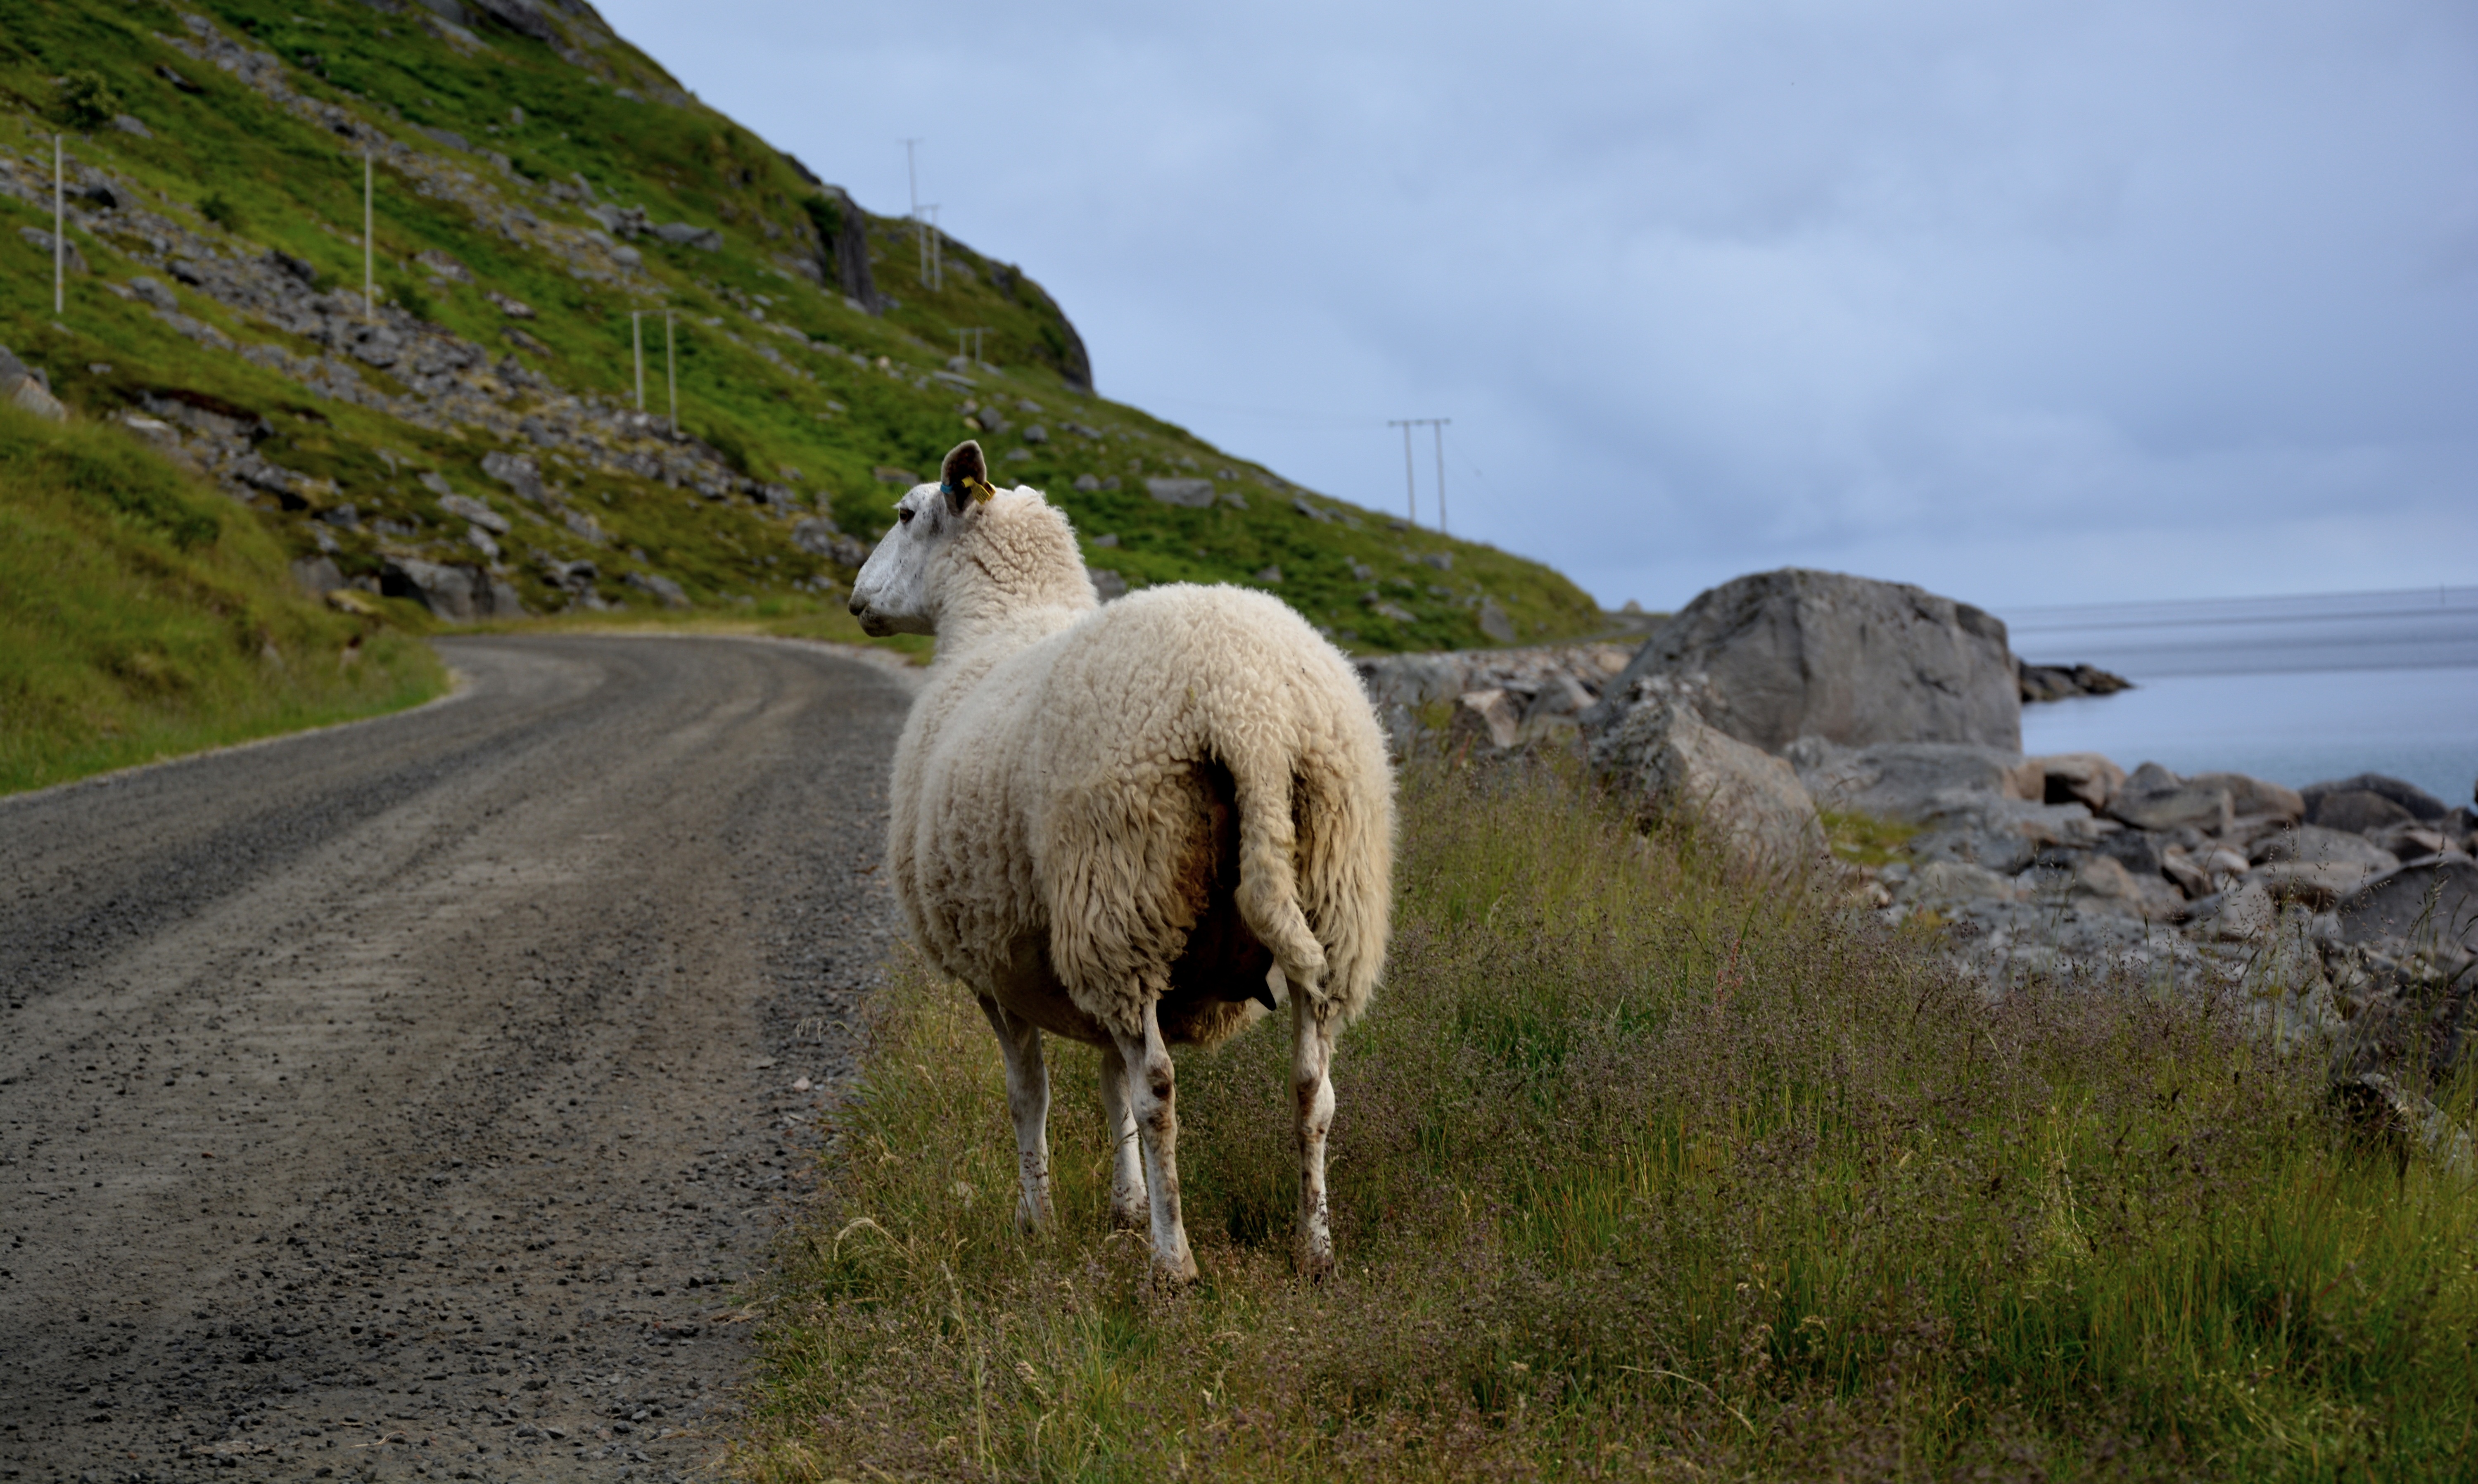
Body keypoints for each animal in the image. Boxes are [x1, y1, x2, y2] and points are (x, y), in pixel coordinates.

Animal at [852, 439, 1398, 1278]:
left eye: (907, 514)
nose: (857, 599)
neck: (999, 620)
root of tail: (1249, 708)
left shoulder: (992, 966)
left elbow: (1032, 1091)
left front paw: (1037, 1220)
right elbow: (1109, 1082)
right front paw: (1124, 1206)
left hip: (1121, 887)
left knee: (1160, 1090)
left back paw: (1173, 1264)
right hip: (1329, 894)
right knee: (1313, 1087)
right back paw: (1315, 1248)